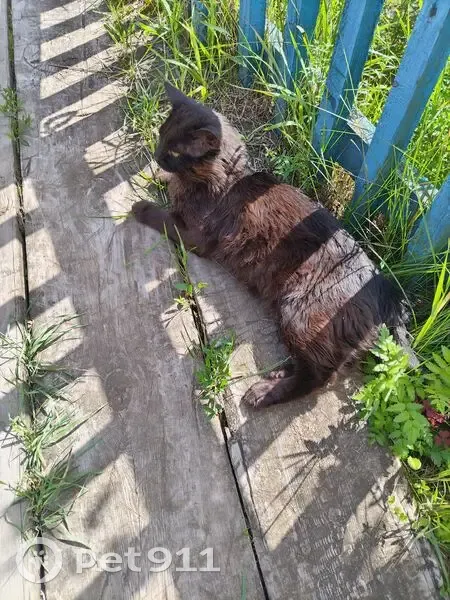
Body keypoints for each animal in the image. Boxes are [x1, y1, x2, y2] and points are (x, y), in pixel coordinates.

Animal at [132, 82, 404, 409]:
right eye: (161, 135)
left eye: (174, 151)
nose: (156, 154)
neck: (229, 179)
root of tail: (385, 291)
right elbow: (168, 184)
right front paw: (153, 175)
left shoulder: (195, 235)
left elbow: (162, 217)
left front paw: (141, 206)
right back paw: (276, 374)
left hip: (299, 312)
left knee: (319, 377)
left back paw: (262, 392)